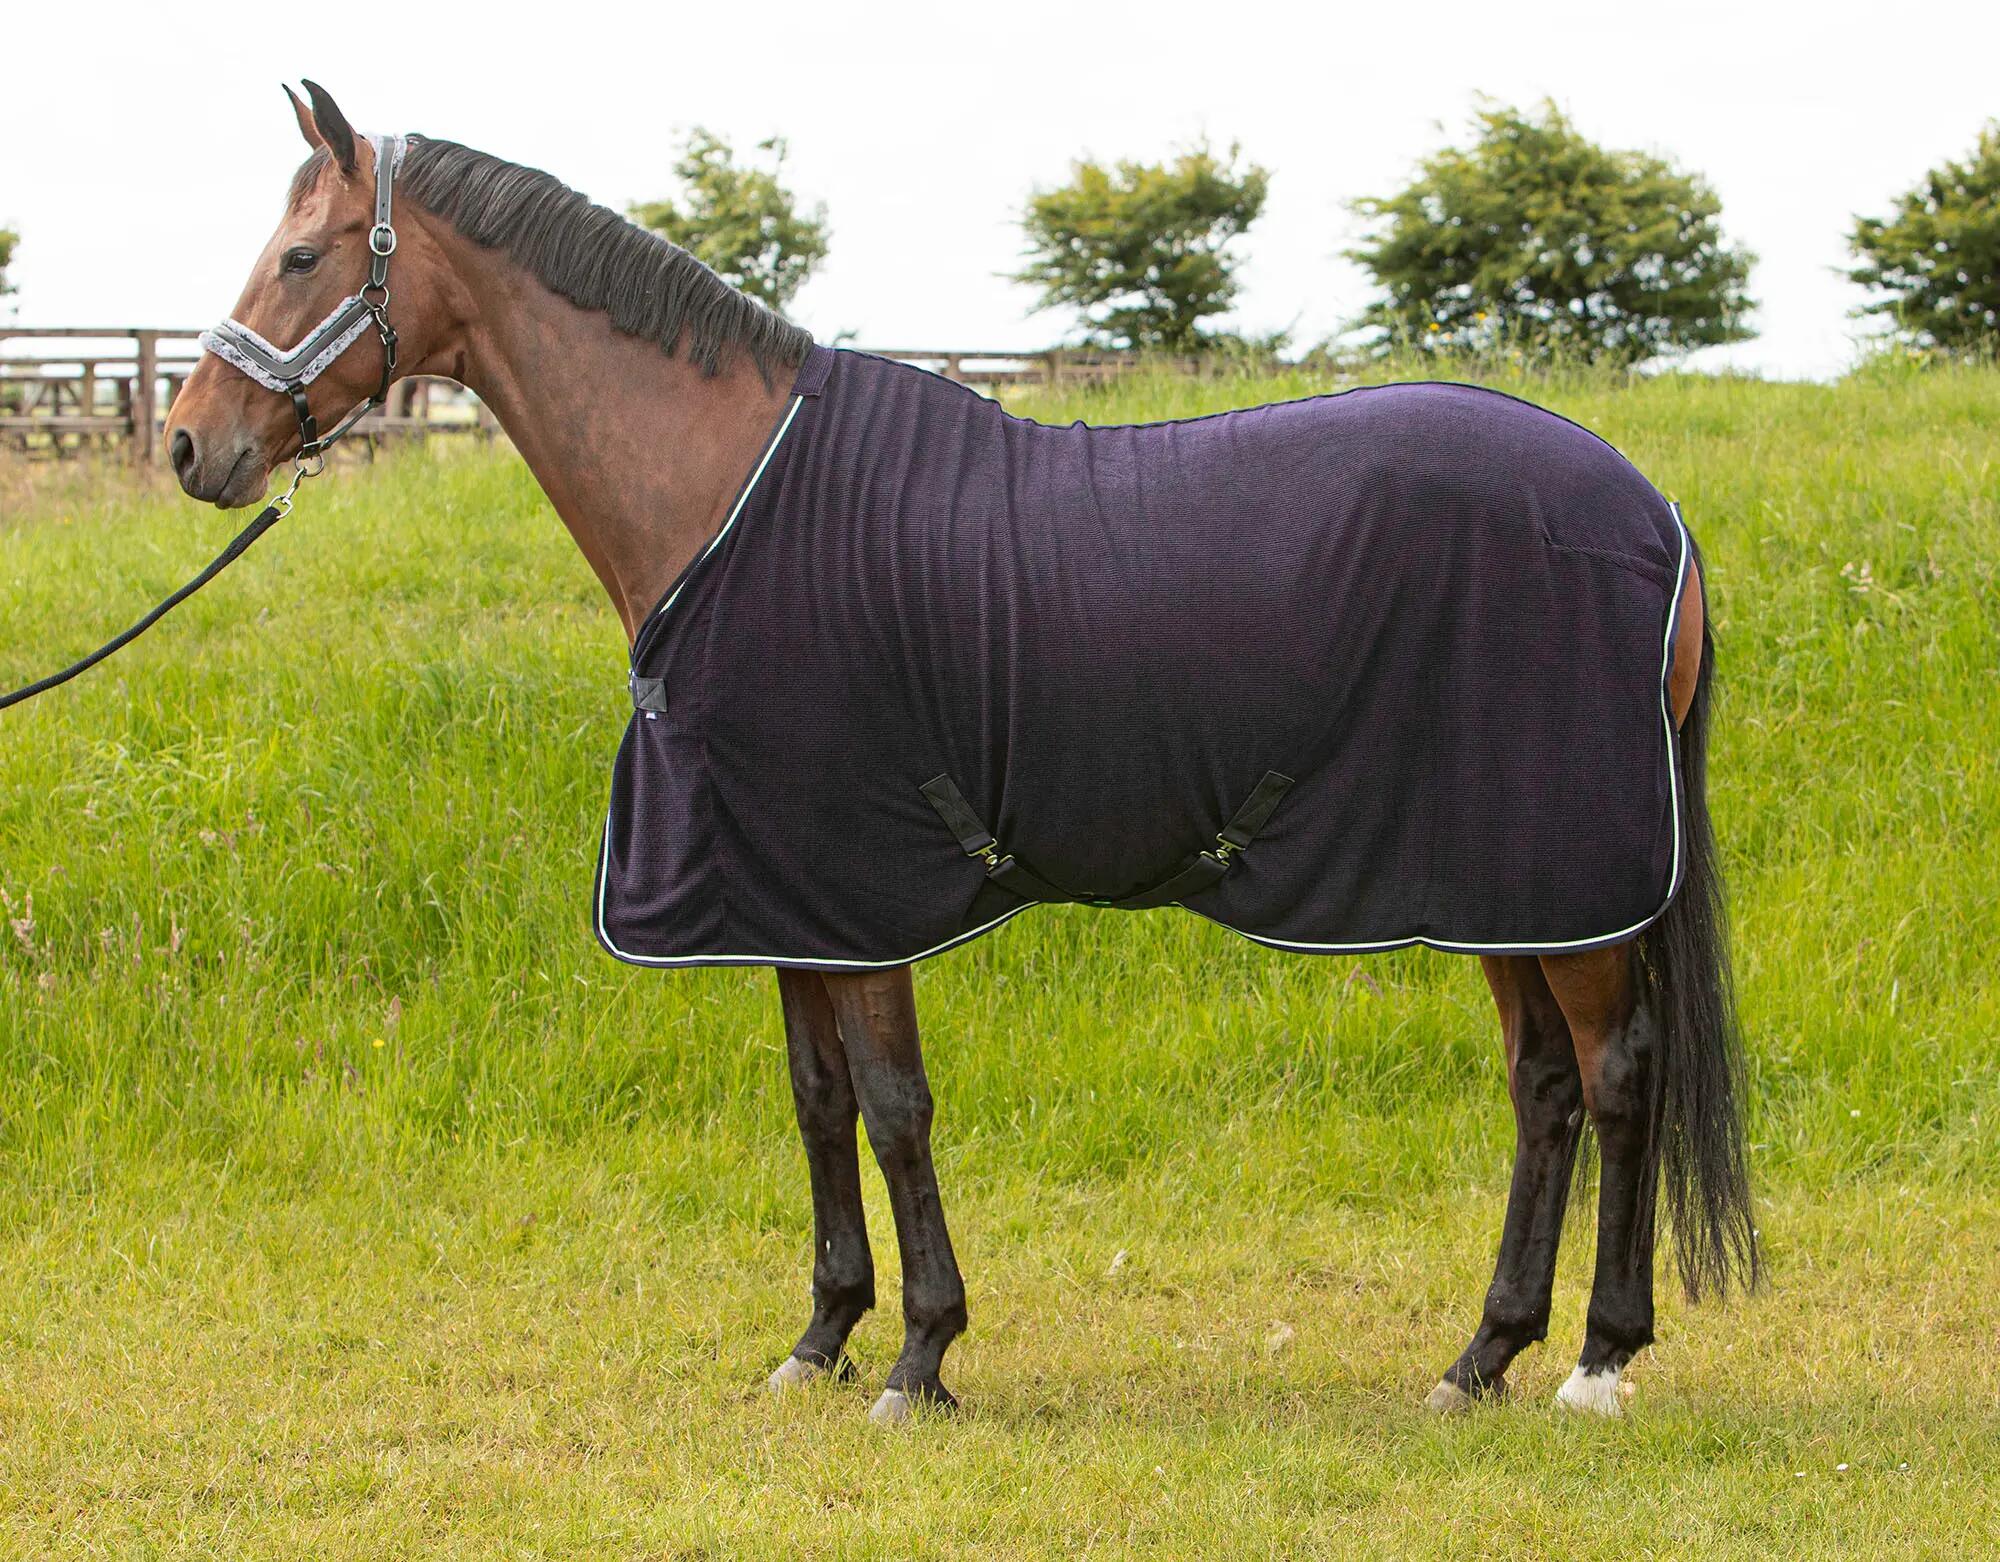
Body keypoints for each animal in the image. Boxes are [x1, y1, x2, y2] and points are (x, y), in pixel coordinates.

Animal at [164, 82, 1757, 1425]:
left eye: (300, 258)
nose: (189, 445)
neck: (728, 496)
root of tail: (1656, 516)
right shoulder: (784, 892)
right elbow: (818, 1105)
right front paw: (819, 1337)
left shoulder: (859, 892)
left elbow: (892, 1107)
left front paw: (920, 1355)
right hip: (1495, 881)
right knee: (1544, 1090)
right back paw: (1481, 1354)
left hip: (1557, 881)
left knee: (1617, 1074)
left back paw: (1597, 1361)